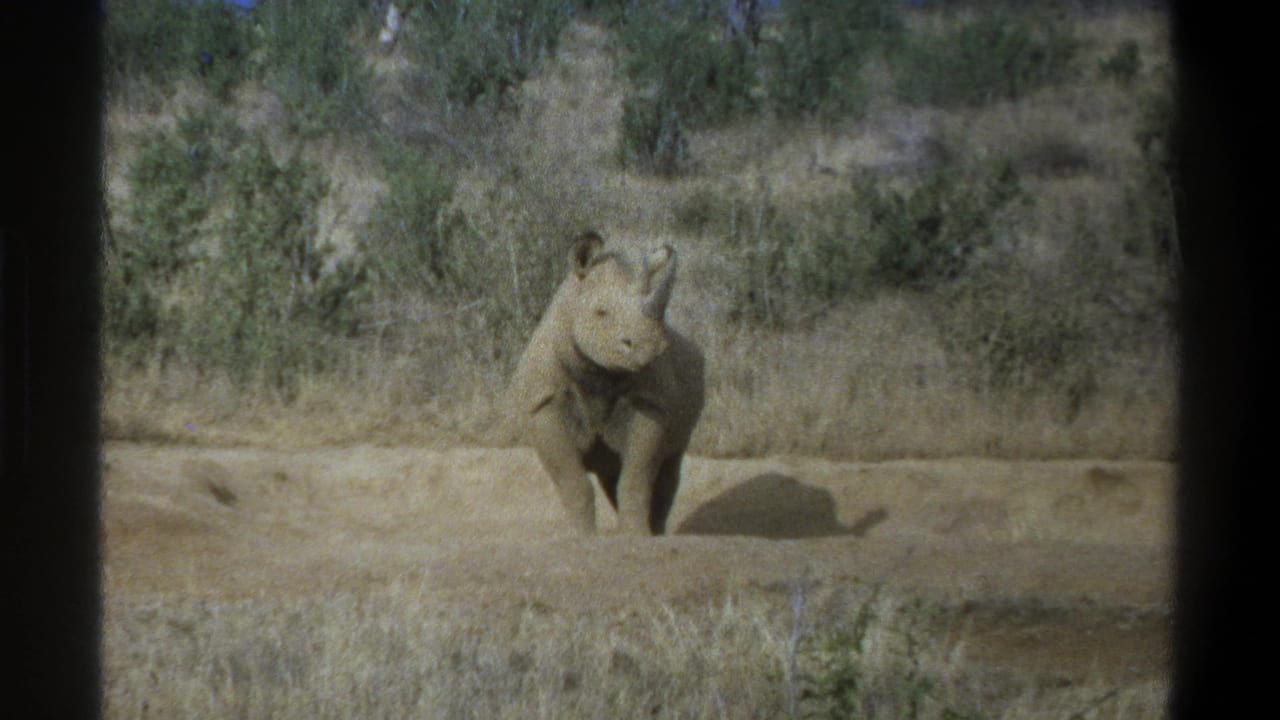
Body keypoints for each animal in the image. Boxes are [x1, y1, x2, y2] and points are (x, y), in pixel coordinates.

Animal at [512, 231, 705, 535]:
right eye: (601, 312)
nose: (650, 346)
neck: (595, 370)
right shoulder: (543, 402)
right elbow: (573, 482)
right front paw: (582, 537)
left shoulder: (651, 401)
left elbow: (637, 480)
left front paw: (637, 537)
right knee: (612, 473)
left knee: (668, 467)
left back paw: (657, 533)